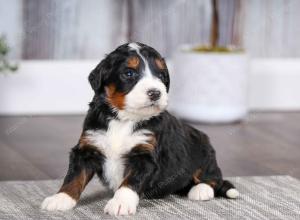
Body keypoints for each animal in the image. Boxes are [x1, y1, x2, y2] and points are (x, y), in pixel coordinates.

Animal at [41, 42, 239, 216]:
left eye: (161, 75)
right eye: (129, 73)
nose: (155, 93)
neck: (123, 119)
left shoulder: (145, 155)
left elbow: (130, 182)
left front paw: (120, 203)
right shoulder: (87, 147)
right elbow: (74, 177)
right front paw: (60, 198)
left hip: (203, 152)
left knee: (213, 177)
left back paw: (201, 190)